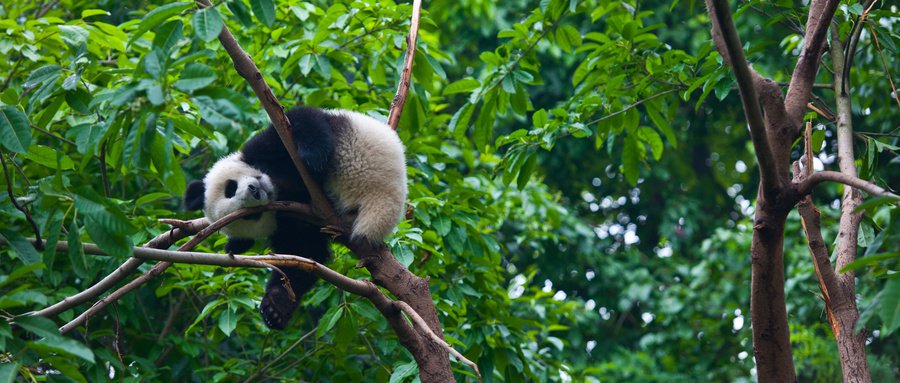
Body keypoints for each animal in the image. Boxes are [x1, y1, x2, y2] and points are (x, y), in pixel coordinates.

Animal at [184, 107, 408, 330]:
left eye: (230, 188)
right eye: (250, 215)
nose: (254, 191)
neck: (279, 186)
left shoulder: (264, 149)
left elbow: (299, 121)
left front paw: (312, 156)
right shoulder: (292, 223)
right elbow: (302, 254)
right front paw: (275, 308)